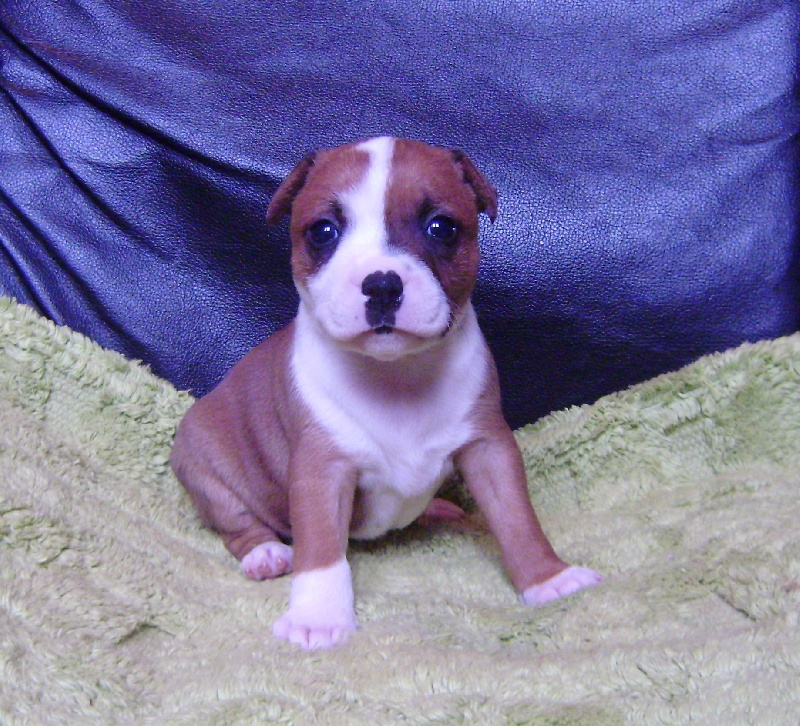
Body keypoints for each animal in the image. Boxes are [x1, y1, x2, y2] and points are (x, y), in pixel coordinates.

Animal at [170, 137, 601, 650]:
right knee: (237, 523)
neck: (396, 377)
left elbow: (517, 518)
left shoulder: (489, 448)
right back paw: (266, 554)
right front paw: (319, 617)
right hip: (206, 469)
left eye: (442, 228)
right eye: (322, 232)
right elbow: (321, 548)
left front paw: (548, 577)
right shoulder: (321, 469)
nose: (381, 284)